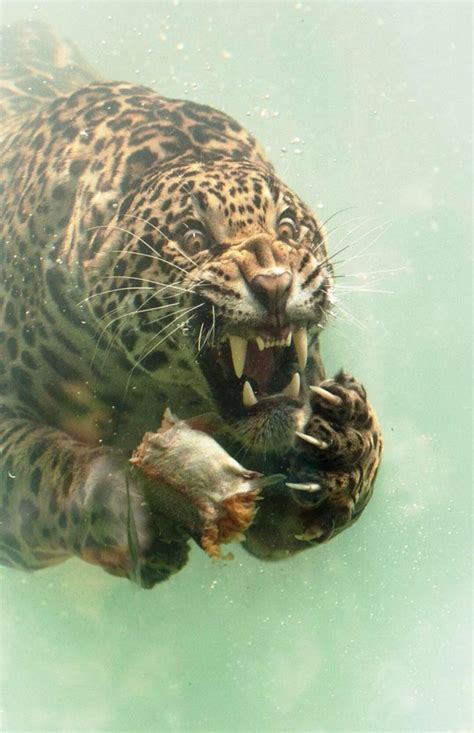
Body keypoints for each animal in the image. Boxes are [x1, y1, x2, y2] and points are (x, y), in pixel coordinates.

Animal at [0, 22, 382, 588]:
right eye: (195, 237)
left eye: (288, 227)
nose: (274, 283)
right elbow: (39, 469)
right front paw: (121, 506)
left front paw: (346, 446)